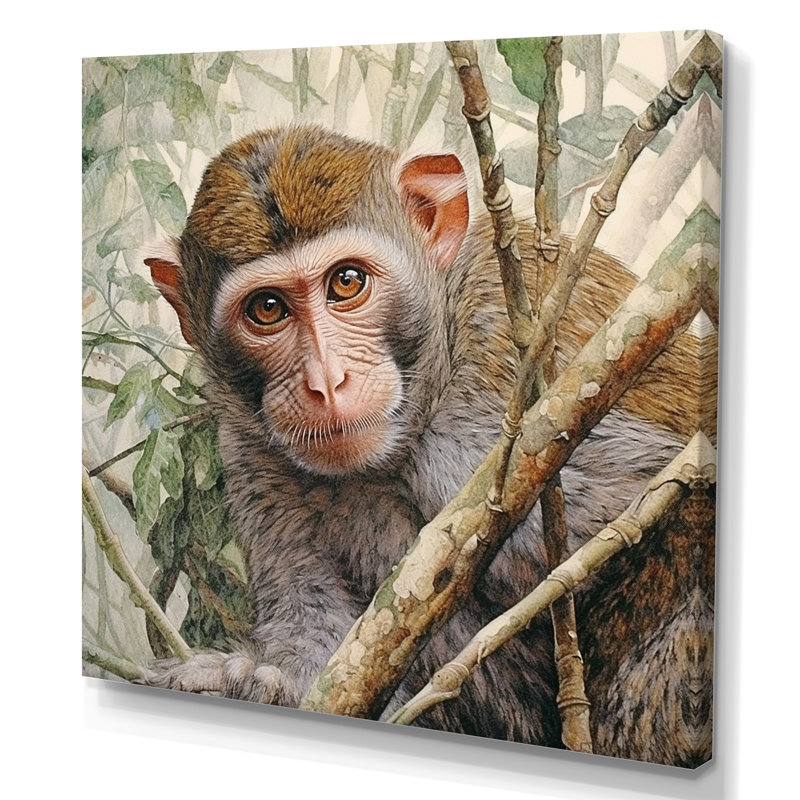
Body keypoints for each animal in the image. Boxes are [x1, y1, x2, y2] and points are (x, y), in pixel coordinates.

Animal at [143, 124, 715, 767]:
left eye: (347, 282)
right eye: (267, 308)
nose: (326, 381)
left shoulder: (502, 378)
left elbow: (665, 487)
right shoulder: (249, 446)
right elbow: (319, 639)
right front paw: (253, 684)